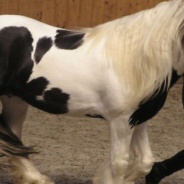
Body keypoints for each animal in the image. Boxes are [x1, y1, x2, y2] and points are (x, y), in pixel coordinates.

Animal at [0, 0, 184, 184]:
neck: (136, 63)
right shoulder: (121, 121)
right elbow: (119, 164)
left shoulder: (138, 118)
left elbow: (145, 162)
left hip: (14, 101)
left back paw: (34, 177)